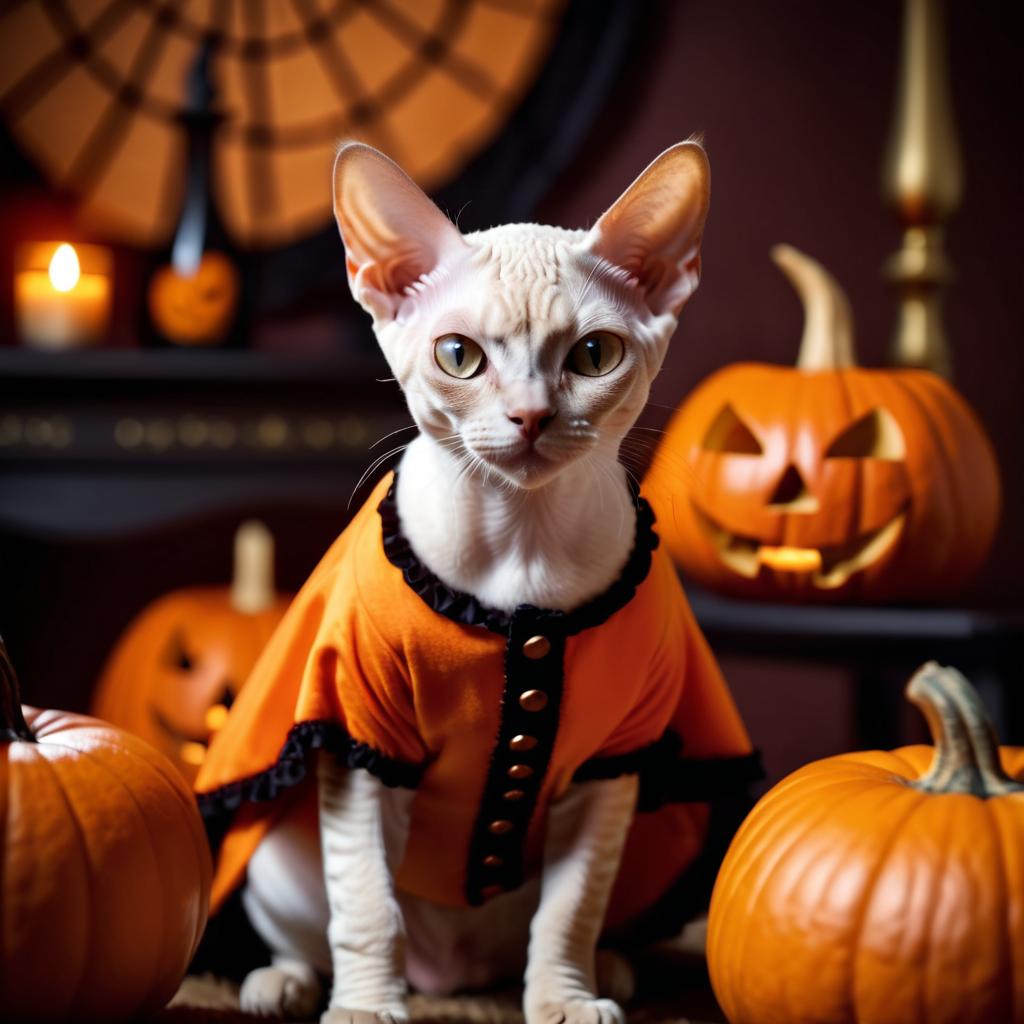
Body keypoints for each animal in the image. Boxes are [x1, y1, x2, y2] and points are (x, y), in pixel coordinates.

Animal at [195, 142, 757, 1024]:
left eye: (593, 356)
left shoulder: (612, 762)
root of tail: (449, 978)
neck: (520, 548)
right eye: (459, 355)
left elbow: (569, 911)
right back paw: (282, 985)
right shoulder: (358, 739)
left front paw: (564, 1001)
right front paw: (365, 1009)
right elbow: (367, 905)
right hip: (282, 858)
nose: (530, 416)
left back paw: (609, 971)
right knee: (314, 931)